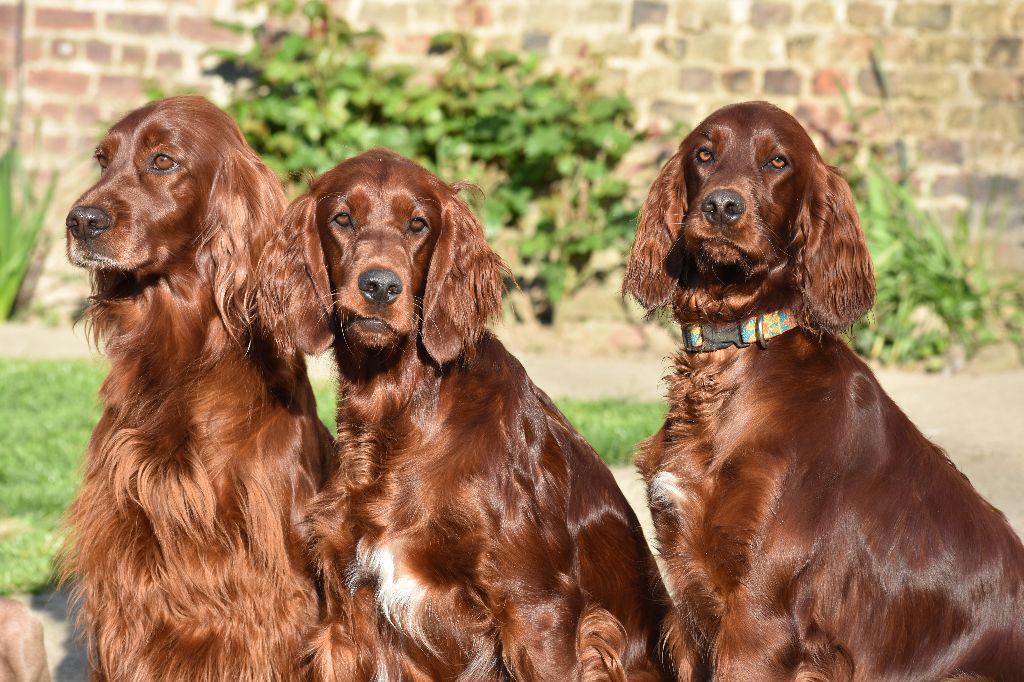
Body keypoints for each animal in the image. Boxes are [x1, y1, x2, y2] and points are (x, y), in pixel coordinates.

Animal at [59, 96, 329, 679]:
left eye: (163, 160)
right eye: (102, 159)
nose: (79, 221)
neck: (180, 362)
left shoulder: (274, 588)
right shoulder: (126, 574)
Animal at [258, 150, 671, 679]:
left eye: (417, 224)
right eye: (342, 219)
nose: (379, 286)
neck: (404, 415)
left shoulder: (537, 611)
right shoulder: (346, 623)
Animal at [618, 98, 1024, 675]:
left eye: (778, 162)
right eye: (704, 153)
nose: (721, 207)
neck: (735, 358)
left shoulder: (759, 618)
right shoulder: (693, 613)